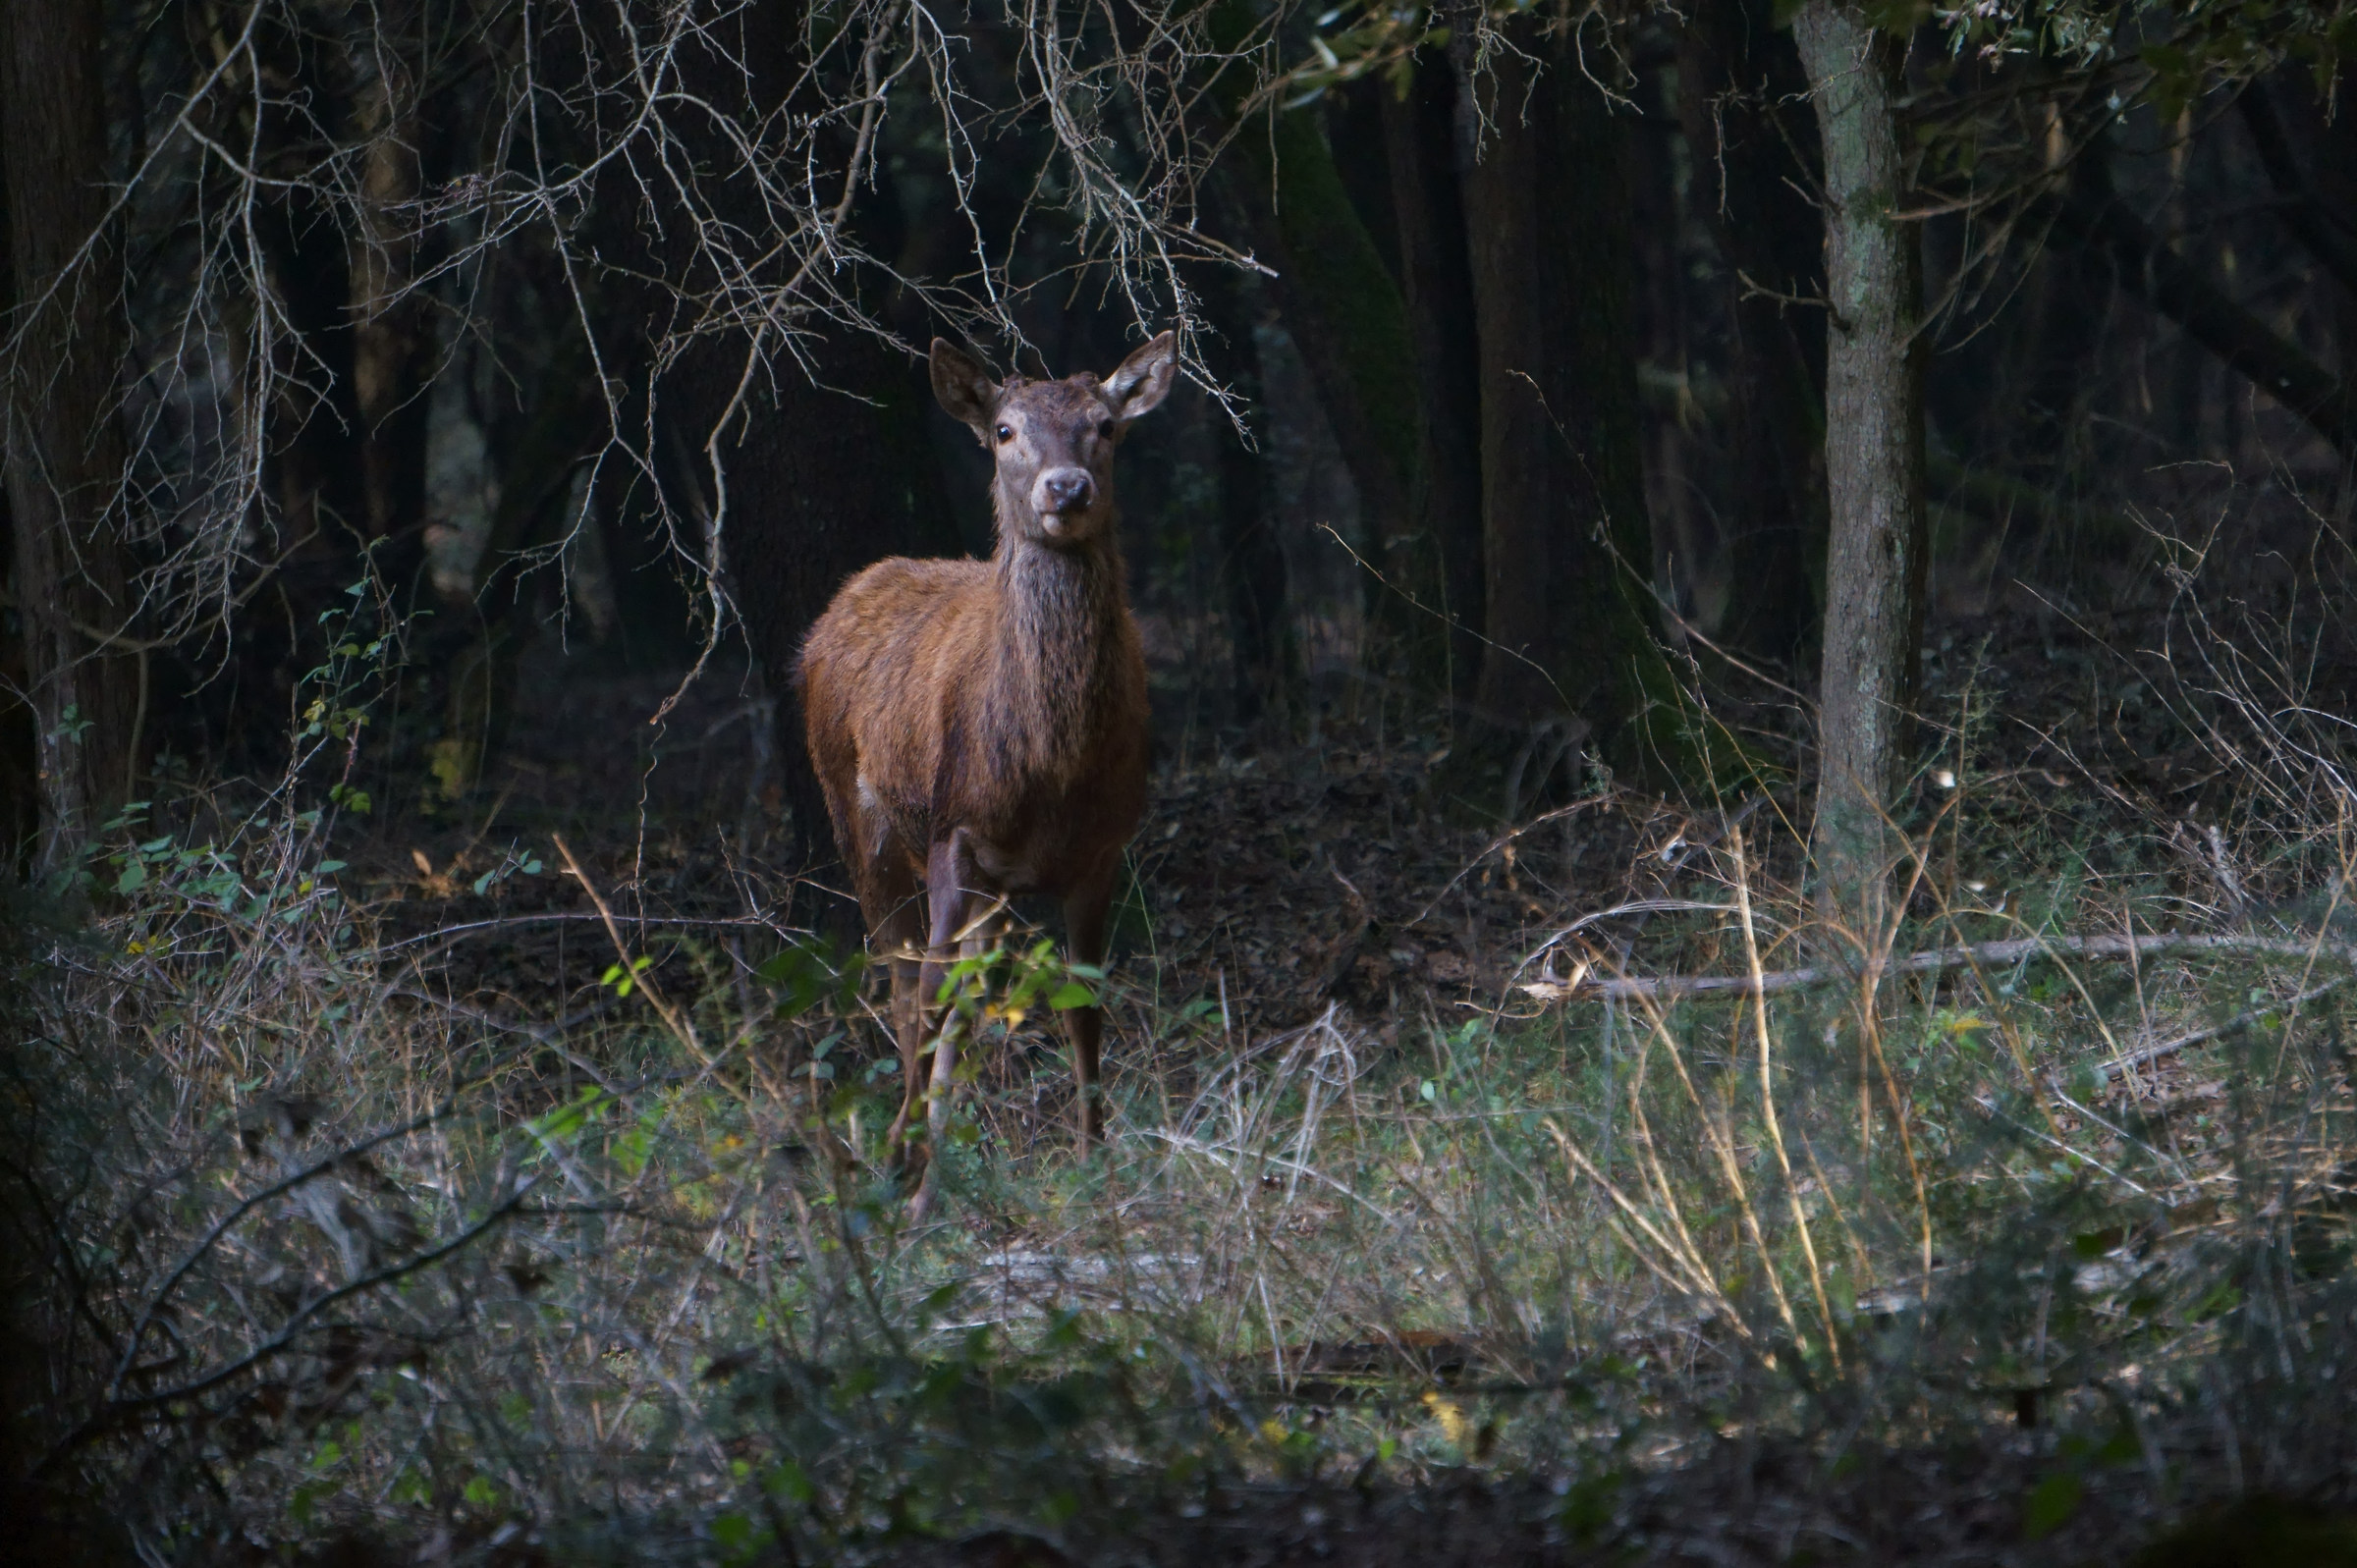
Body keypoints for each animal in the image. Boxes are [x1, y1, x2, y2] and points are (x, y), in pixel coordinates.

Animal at [796, 330, 1175, 1210]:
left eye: (1106, 425)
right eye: (1005, 430)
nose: (1065, 487)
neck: (1051, 766)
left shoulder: (1101, 852)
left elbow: (1084, 1005)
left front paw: (1095, 1160)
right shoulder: (954, 831)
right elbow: (932, 999)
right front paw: (896, 1159)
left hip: (991, 891)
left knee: (963, 992)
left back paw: (931, 1178)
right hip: (857, 819)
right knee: (906, 984)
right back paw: (904, 1165)